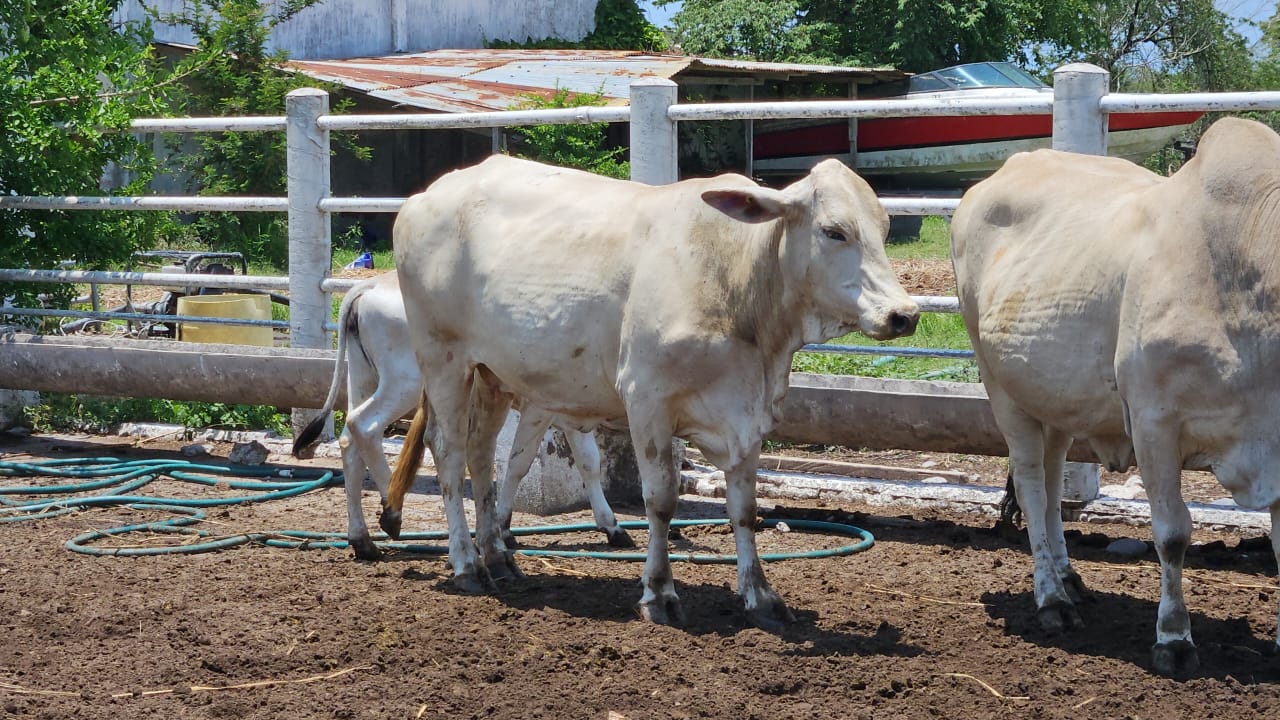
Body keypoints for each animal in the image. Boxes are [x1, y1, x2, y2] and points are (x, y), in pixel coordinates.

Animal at [291, 271, 633, 561]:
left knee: (349, 441)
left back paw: (362, 540)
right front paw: (503, 525)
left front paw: (612, 526)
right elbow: (519, 463)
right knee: (364, 426)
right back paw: (392, 506)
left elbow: (589, 463)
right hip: (405, 383)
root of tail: (368, 285)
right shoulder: (538, 409)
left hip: (363, 378)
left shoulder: (572, 411)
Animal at [390, 155, 919, 630]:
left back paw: (498, 558)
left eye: (885, 227)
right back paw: (466, 564)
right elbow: (661, 500)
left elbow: (745, 510)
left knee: (482, 456)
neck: (736, 280)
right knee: (449, 451)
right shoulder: (647, 400)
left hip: (493, 373)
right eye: (834, 231)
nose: (905, 314)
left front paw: (761, 596)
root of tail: (424, 196)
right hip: (442, 358)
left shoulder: (747, 417)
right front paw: (659, 593)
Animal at [950, 116, 1280, 676]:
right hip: (1002, 388)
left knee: (1053, 482)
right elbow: (1172, 533)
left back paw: (1068, 577)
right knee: (1032, 485)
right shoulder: (1153, 421)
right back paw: (1051, 599)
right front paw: (1174, 638)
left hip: (1056, 397)